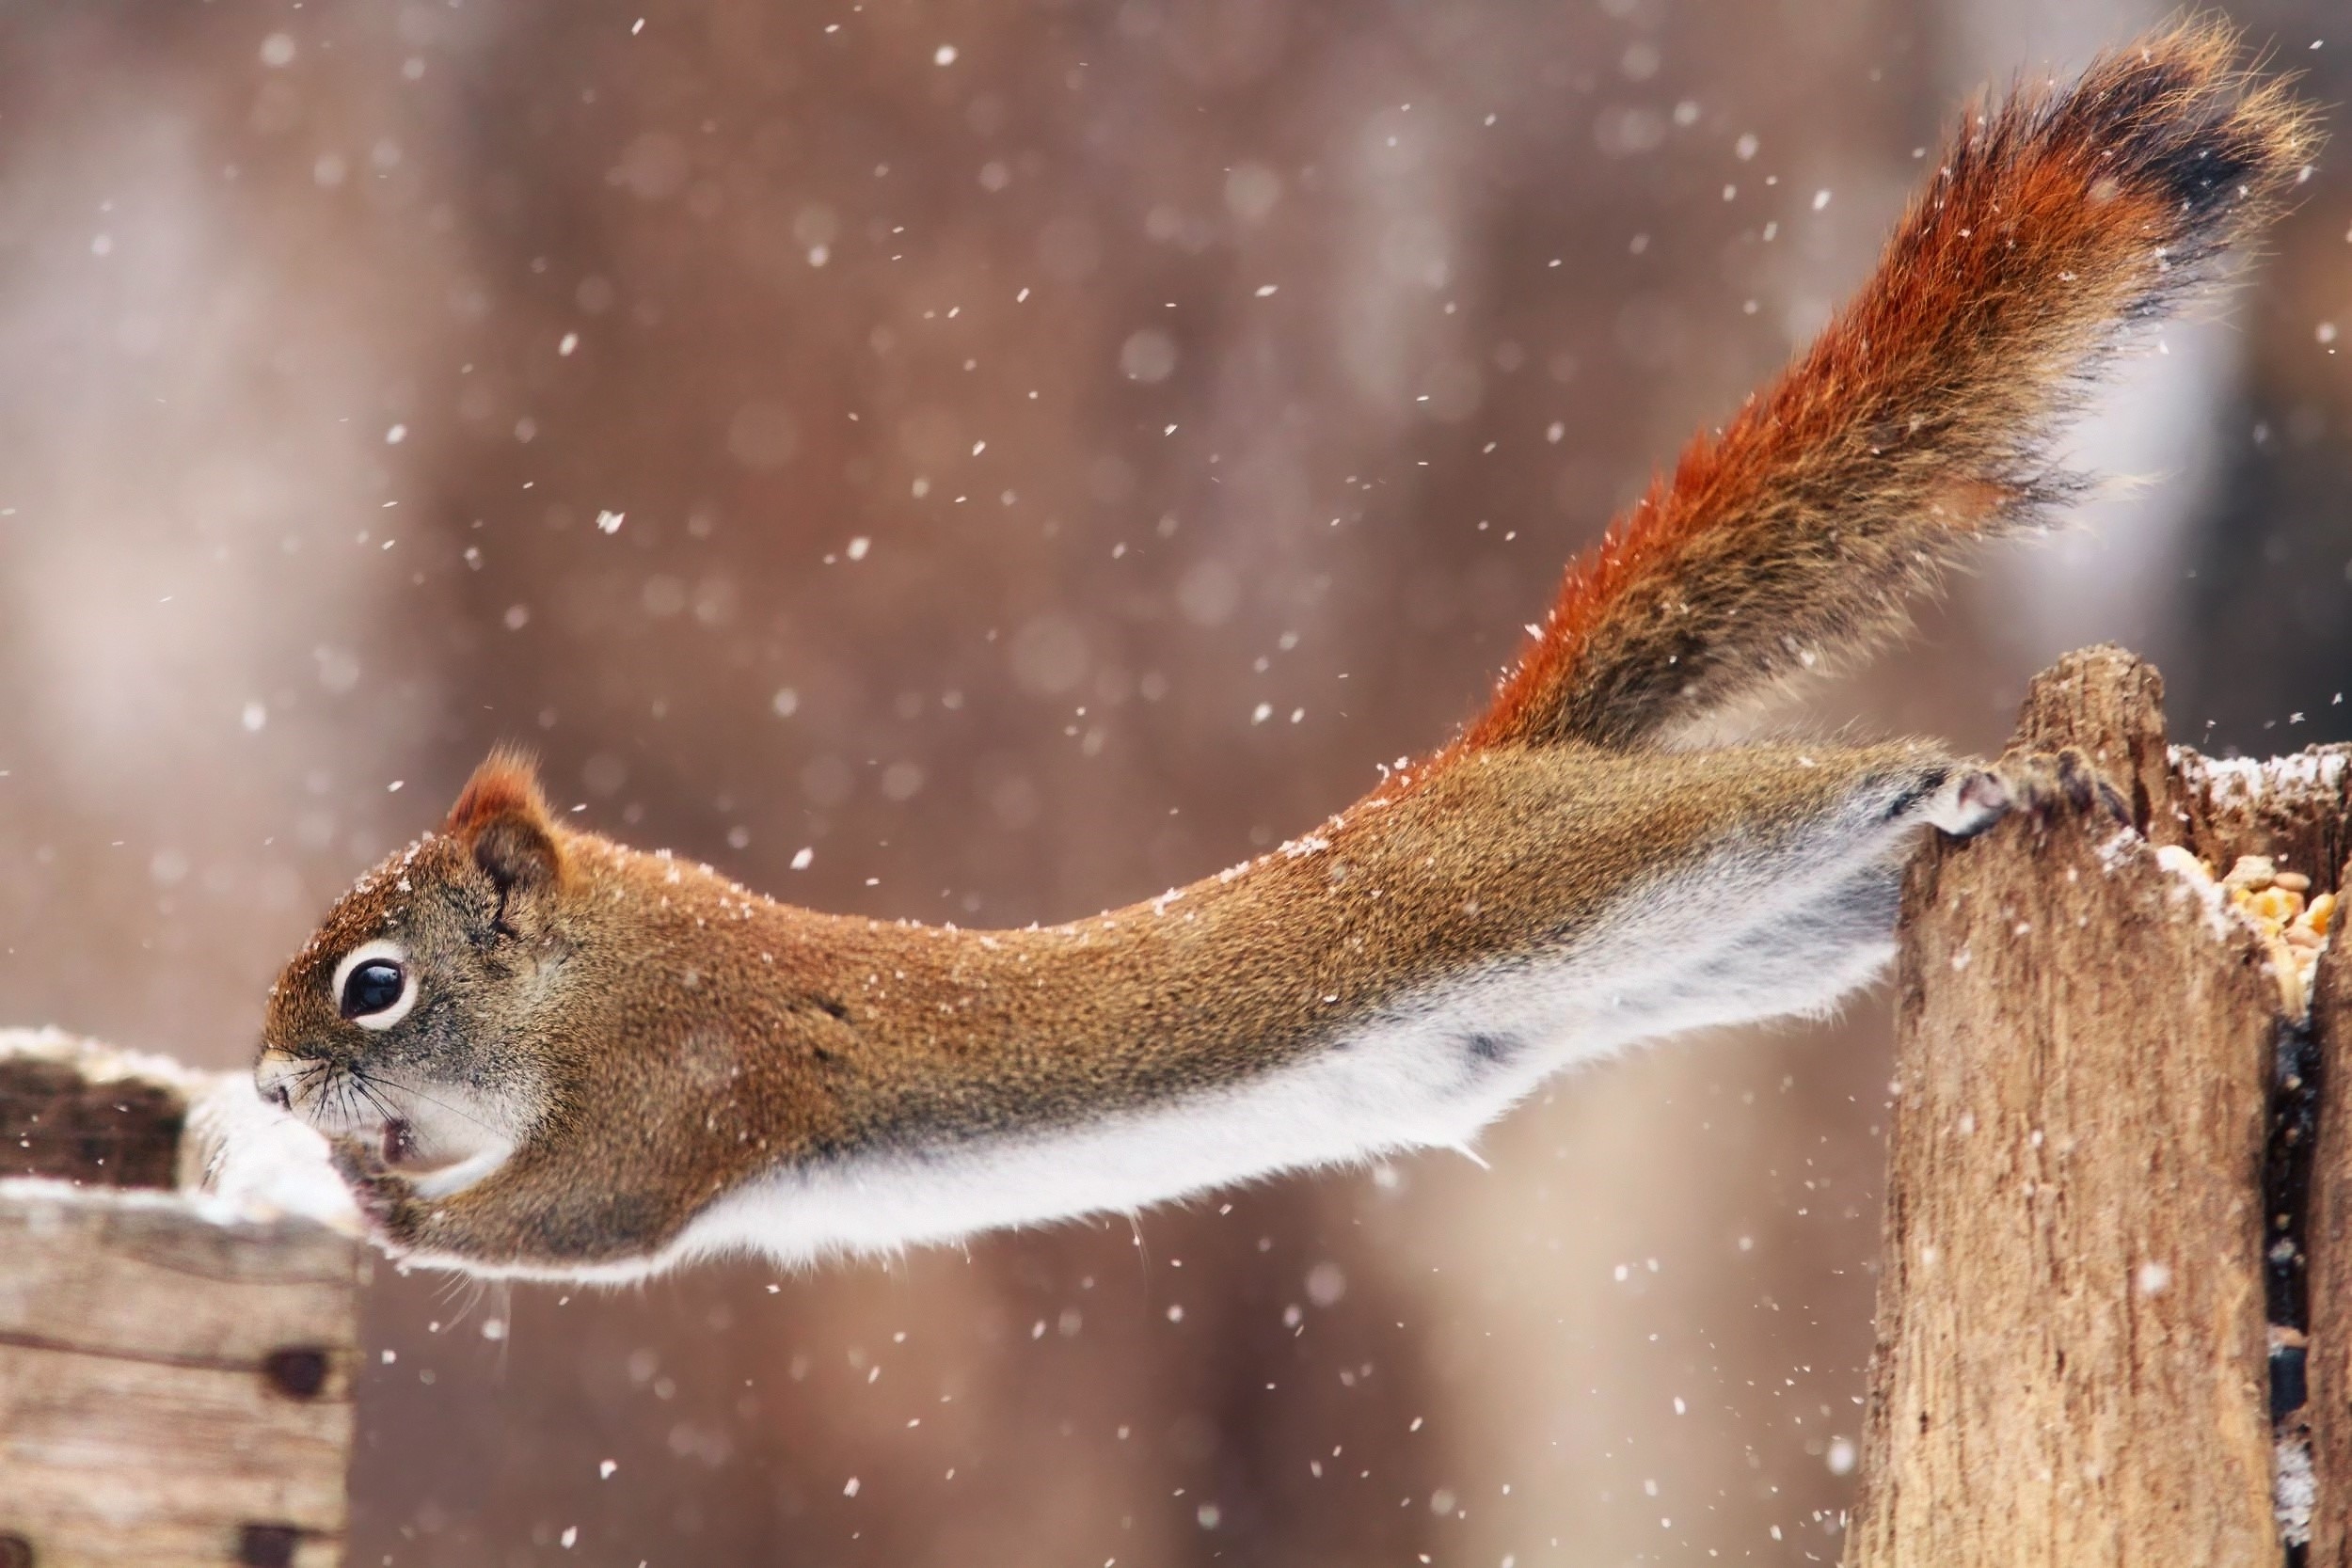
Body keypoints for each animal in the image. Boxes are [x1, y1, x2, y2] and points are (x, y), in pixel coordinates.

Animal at [257, 24, 2312, 1280]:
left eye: (372, 983)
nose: (270, 1087)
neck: (593, 972)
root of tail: (1475, 767)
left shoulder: (683, 1086)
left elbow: (580, 1223)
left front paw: (374, 1201)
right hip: (1718, 946)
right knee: (1835, 898)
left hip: (1588, 865)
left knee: (1804, 791)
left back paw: (1978, 766)